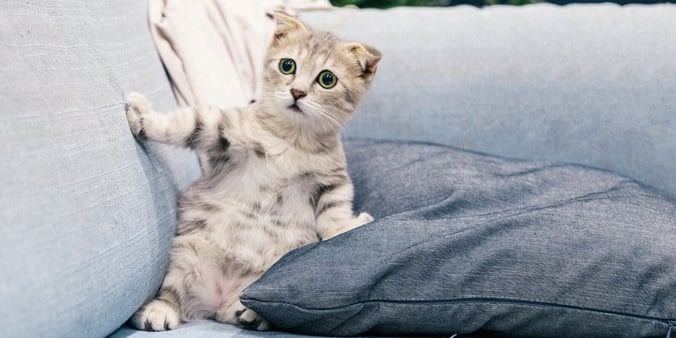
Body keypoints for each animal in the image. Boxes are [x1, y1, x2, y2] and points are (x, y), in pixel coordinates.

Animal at [125, 11, 380, 332]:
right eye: (287, 65)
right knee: (172, 292)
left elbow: (334, 212)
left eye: (327, 79)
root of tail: (217, 300)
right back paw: (158, 311)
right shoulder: (225, 132)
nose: (297, 92)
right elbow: (186, 124)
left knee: (240, 309)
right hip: (186, 255)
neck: (292, 139)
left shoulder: (332, 180)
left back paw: (248, 313)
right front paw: (143, 117)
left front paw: (345, 228)